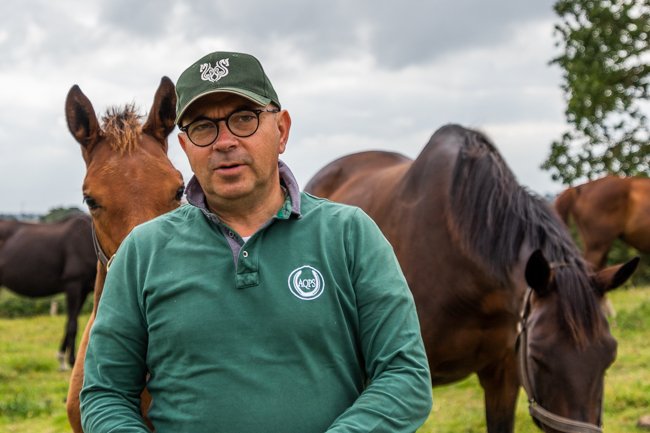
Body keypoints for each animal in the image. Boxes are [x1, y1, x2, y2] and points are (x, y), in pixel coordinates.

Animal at [0, 214, 96, 369]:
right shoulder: (73, 285)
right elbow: (72, 325)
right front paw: (72, 360)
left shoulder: (84, 290)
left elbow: (69, 322)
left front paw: (62, 358)